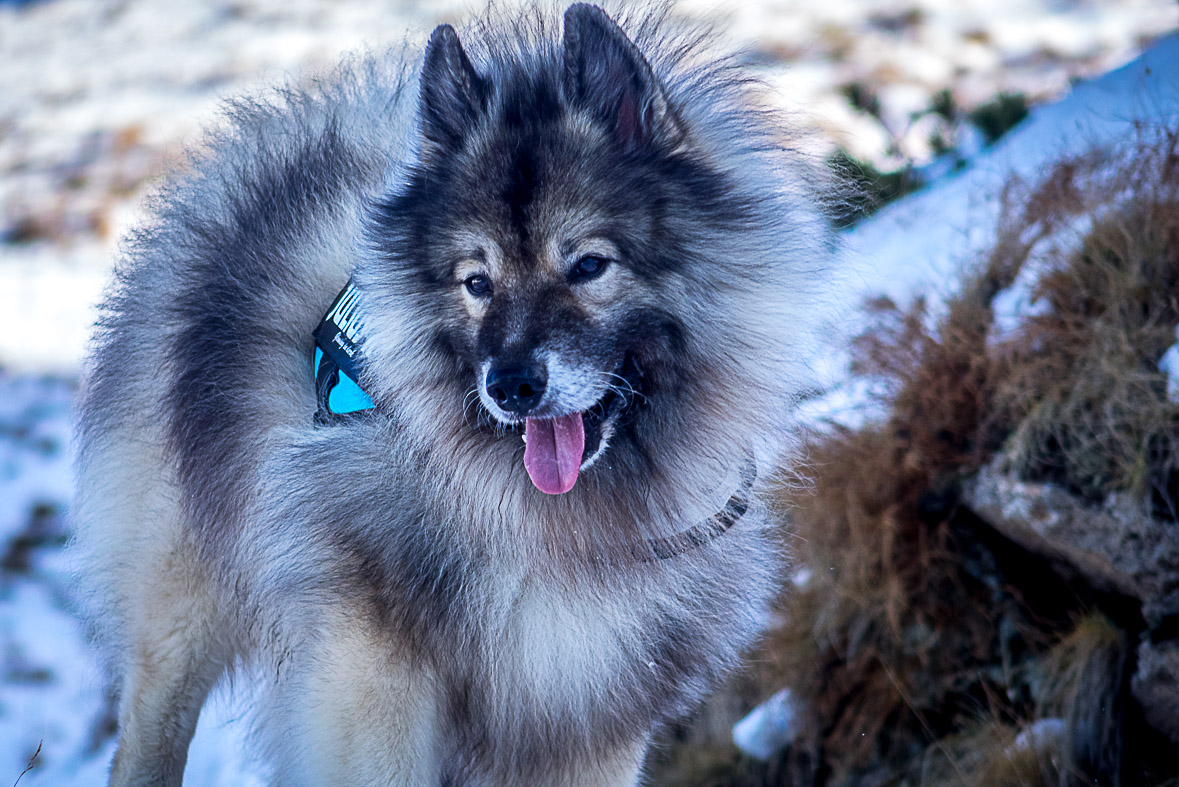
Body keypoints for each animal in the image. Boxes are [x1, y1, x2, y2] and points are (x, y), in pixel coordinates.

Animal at [73, 4, 830, 782]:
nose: (512, 386)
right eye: (476, 282)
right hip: (180, 606)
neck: (551, 526)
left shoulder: (589, 718)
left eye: (589, 266)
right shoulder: (374, 670)